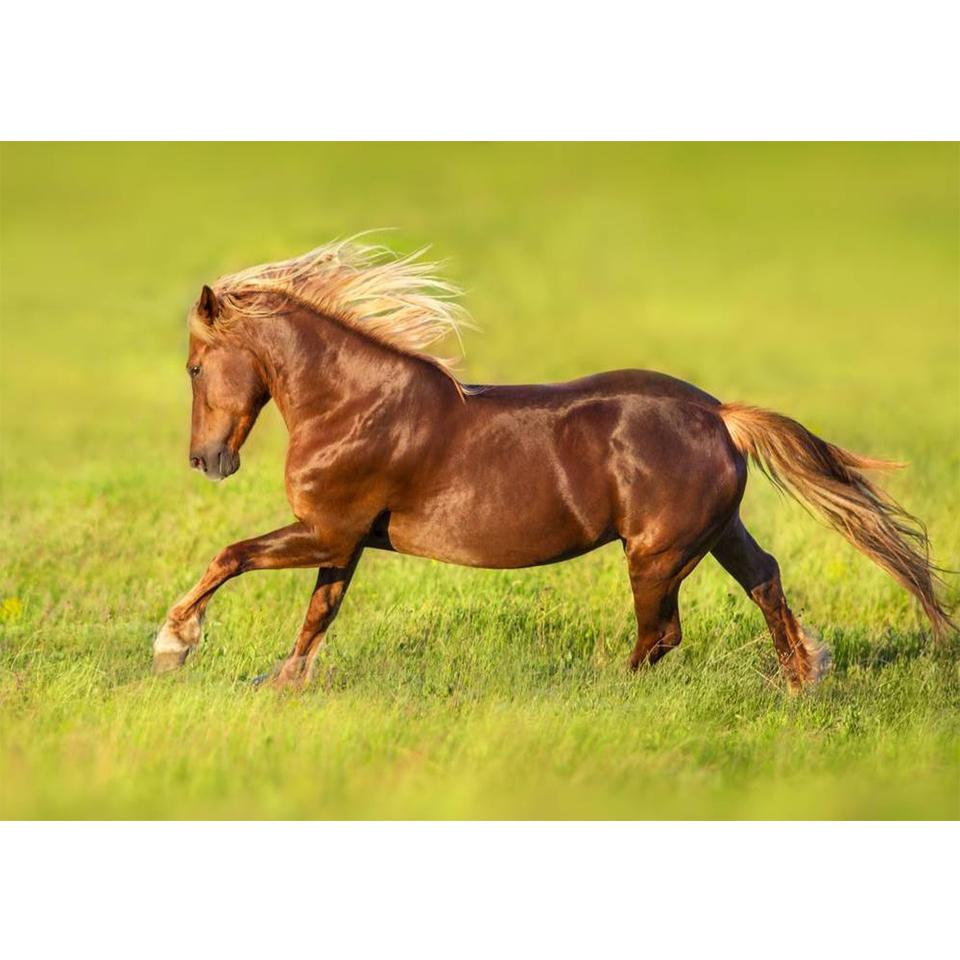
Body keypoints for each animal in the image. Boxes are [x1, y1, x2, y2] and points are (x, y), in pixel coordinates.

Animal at [153, 239, 954, 690]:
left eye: (193, 368)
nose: (207, 460)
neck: (353, 405)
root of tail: (719, 415)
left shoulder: (328, 528)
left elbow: (231, 556)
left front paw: (173, 647)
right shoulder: (342, 539)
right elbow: (320, 612)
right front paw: (280, 682)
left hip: (655, 554)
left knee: (663, 633)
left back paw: (609, 688)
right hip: (717, 532)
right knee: (764, 579)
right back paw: (800, 681)